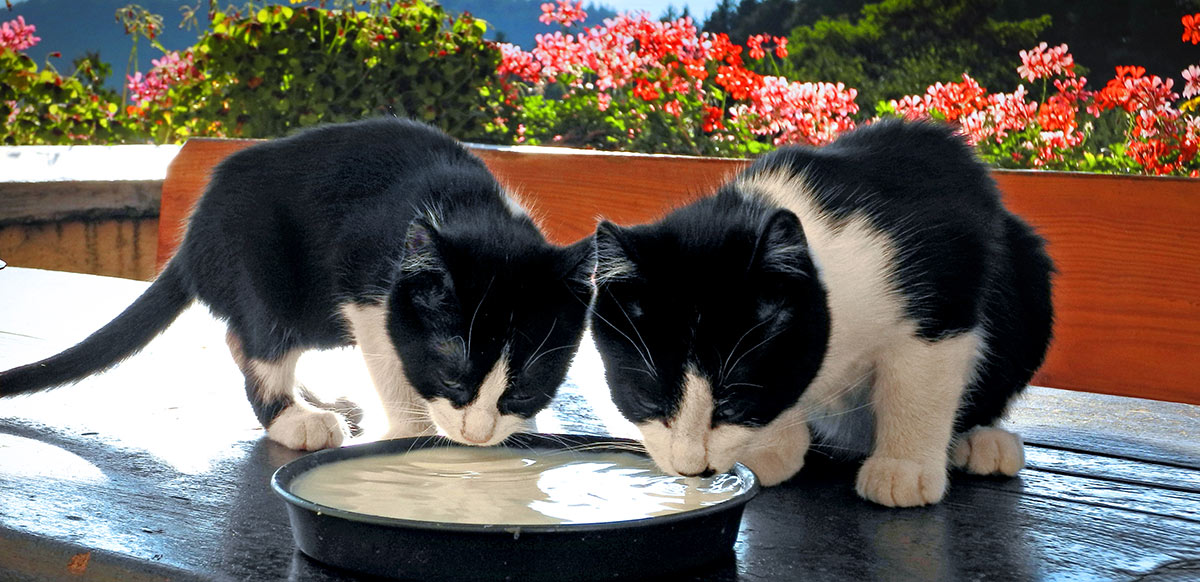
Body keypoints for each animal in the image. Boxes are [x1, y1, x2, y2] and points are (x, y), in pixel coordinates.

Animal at [0, 118, 590, 451]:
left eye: (525, 386)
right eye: (450, 374)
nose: (477, 435)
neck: (468, 207)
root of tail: (190, 242)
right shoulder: (363, 278)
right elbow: (391, 358)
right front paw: (412, 433)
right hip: (259, 266)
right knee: (255, 335)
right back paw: (294, 417)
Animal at [588, 120, 1051, 506]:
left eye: (734, 404)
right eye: (648, 400)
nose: (691, 469)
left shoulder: (945, 283)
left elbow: (920, 383)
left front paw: (904, 467)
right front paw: (773, 448)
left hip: (1028, 276)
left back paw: (982, 441)